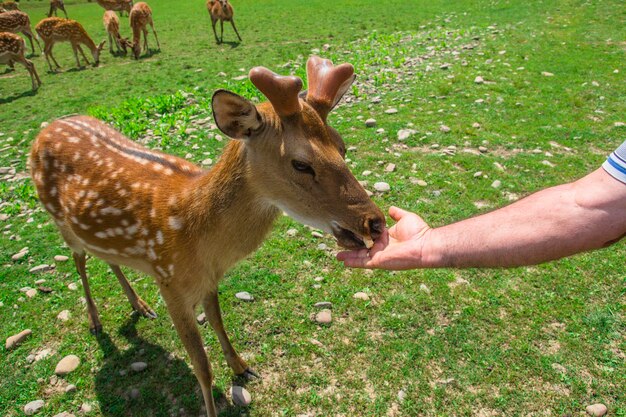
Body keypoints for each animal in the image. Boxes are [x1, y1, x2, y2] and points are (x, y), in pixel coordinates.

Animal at [33, 56, 386, 416]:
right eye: (300, 164)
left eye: (341, 146)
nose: (374, 222)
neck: (200, 238)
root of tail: (45, 130)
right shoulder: (169, 283)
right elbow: (201, 365)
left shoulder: (209, 280)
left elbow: (217, 322)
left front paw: (242, 366)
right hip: (59, 219)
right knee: (79, 260)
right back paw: (95, 321)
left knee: (107, 257)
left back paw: (140, 305)